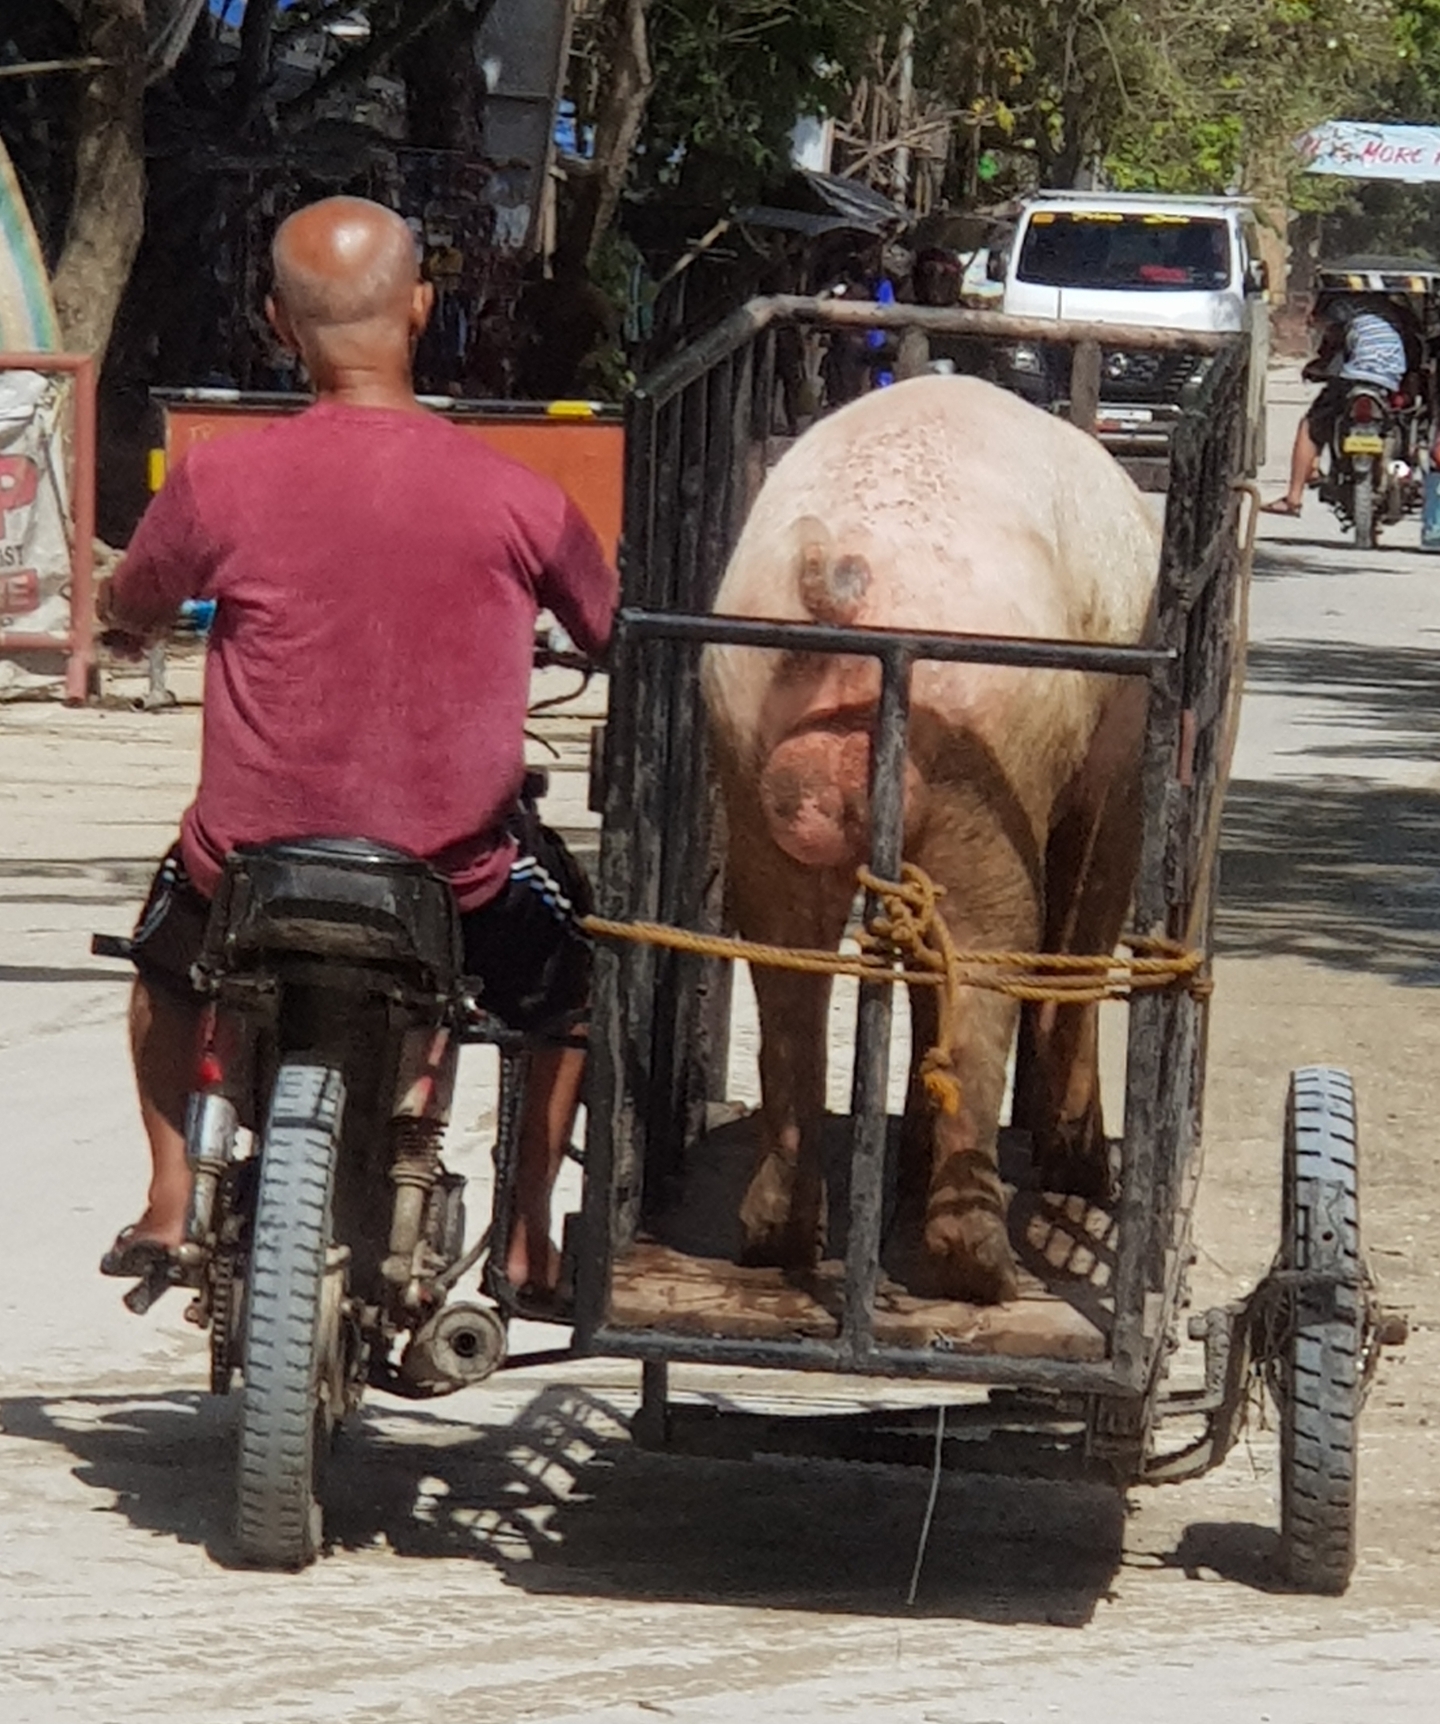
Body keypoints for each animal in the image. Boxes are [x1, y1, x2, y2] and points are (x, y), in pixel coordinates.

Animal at [701, 374, 1161, 1304]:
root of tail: (847, 578)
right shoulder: (1118, 754)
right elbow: (1089, 926)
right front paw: (1085, 1176)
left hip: (744, 730)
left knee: (785, 955)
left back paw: (775, 1240)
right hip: (982, 749)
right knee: (994, 946)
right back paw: (985, 1272)